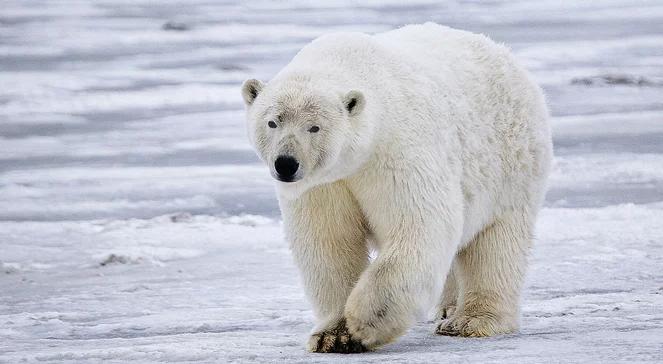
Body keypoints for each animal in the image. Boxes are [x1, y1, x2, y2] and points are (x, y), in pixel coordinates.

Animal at [241, 22, 552, 352]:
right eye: (272, 122)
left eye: (314, 127)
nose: (286, 164)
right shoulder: (324, 185)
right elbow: (329, 243)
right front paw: (332, 335)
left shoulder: (396, 150)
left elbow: (419, 225)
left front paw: (365, 322)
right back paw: (448, 308)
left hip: (510, 164)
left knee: (496, 245)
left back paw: (470, 321)